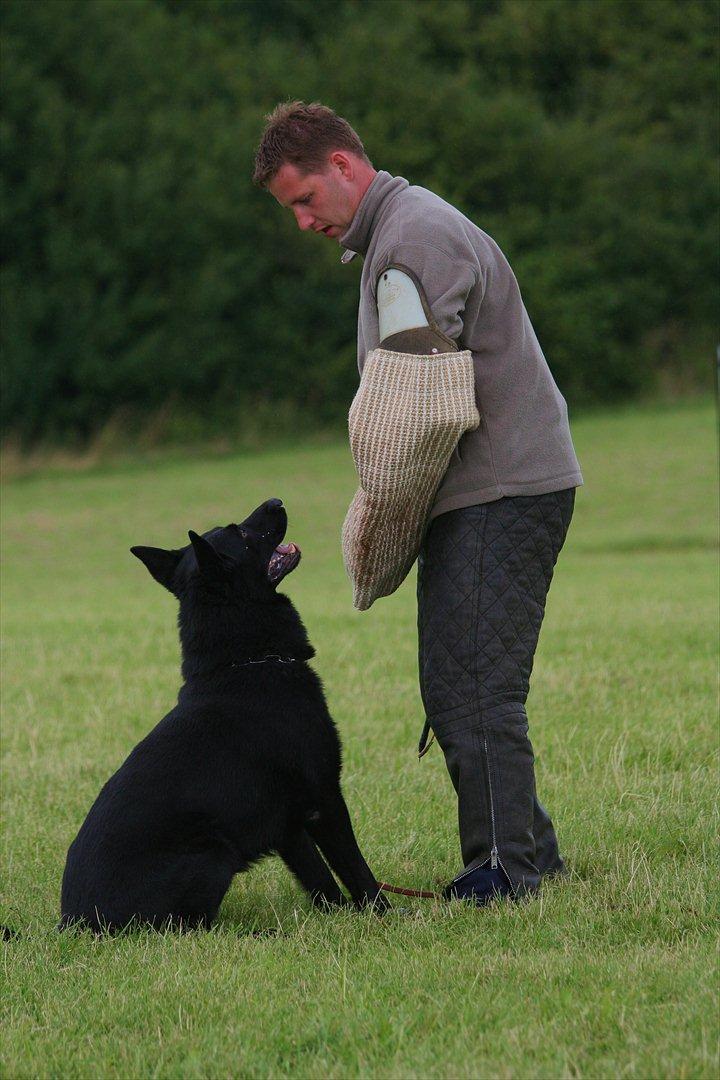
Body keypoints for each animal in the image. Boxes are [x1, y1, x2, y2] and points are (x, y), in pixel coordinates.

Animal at [60, 496, 388, 928]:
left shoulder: (288, 825)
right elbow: (354, 868)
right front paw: (388, 915)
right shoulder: (323, 800)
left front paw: (336, 918)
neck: (247, 661)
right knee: (191, 927)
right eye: (243, 534)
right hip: (214, 853)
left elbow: (319, 878)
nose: (276, 500)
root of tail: (74, 923)